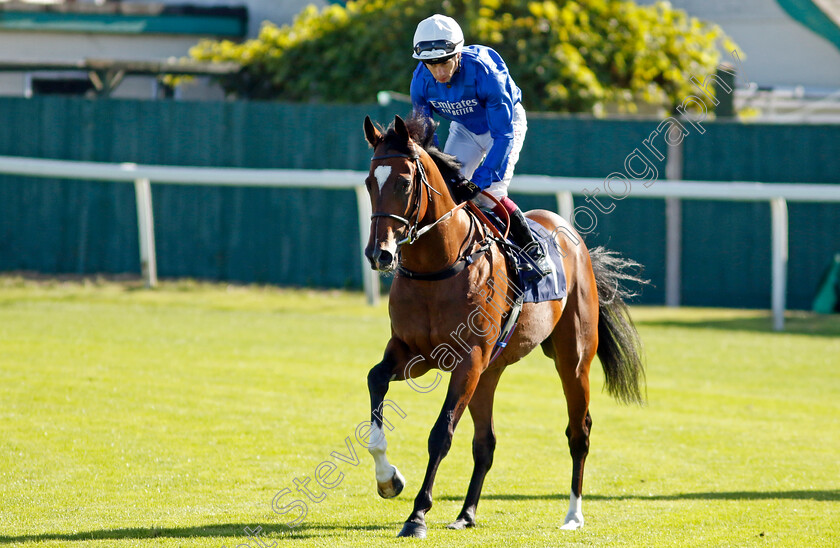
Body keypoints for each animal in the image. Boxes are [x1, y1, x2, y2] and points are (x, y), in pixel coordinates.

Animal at [360, 113, 644, 536]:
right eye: (369, 182)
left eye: (405, 182)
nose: (379, 253)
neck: (438, 266)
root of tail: (574, 239)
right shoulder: (414, 352)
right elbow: (375, 380)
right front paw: (388, 479)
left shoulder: (468, 360)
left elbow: (441, 434)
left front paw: (417, 515)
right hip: (489, 372)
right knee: (486, 442)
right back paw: (465, 514)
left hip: (572, 359)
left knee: (579, 431)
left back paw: (573, 515)